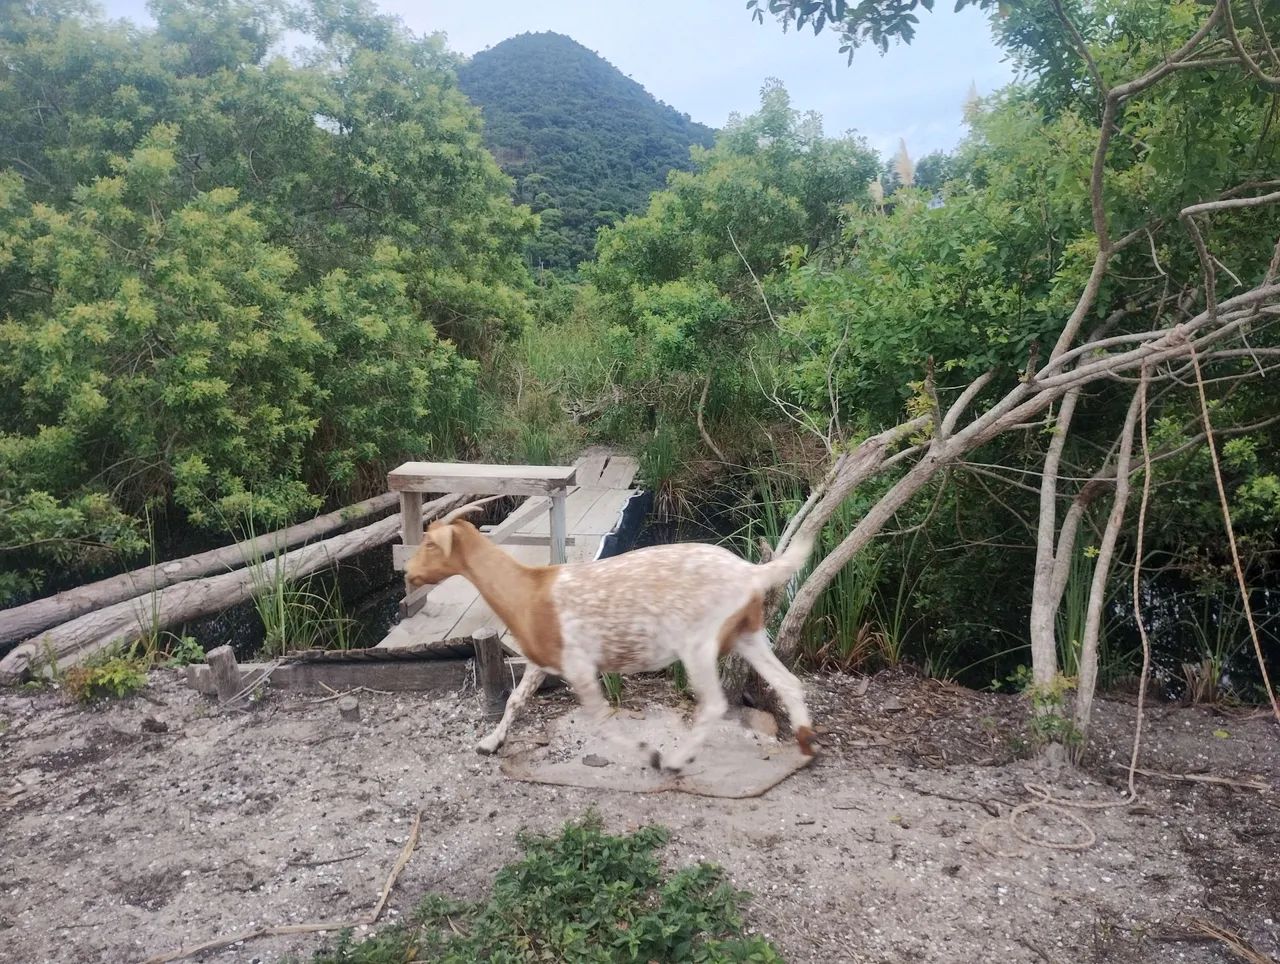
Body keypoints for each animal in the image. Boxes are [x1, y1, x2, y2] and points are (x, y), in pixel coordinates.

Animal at [404, 498, 818, 770]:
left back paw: (676, 759)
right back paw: (807, 746)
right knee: (788, 681)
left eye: (430, 543)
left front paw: (648, 752)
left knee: (715, 703)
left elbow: (601, 717)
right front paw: (490, 742)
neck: (529, 589)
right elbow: (515, 700)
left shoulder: (579, 664)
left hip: (698, 642)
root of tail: (751, 572)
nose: (408, 572)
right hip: (748, 633)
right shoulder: (542, 658)